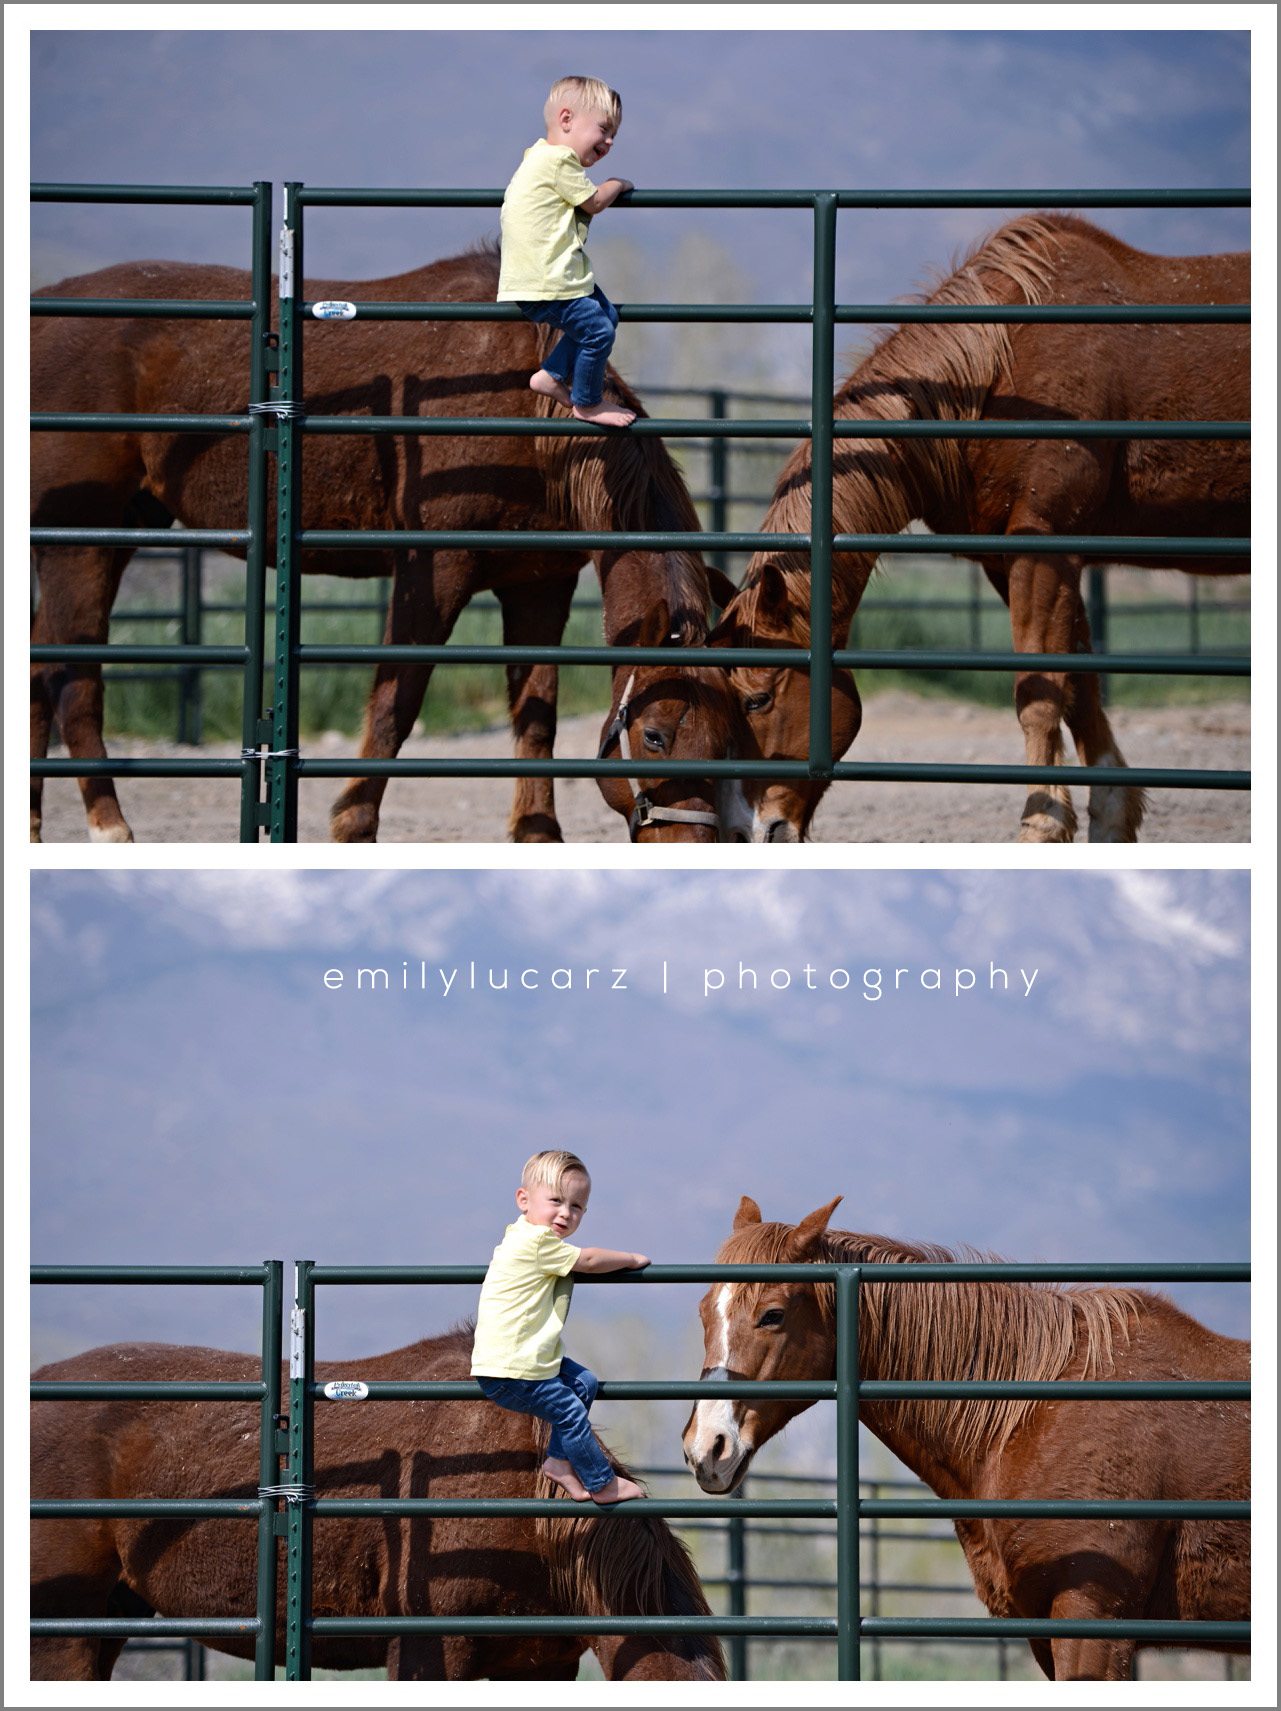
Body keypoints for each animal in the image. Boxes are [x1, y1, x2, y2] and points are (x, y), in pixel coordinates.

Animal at [29, 244, 725, 845]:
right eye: (655, 736)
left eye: (730, 734)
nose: (694, 841)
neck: (529, 416)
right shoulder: (433, 570)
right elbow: (398, 699)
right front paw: (353, 823)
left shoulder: (539, 583)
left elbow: (536, 715)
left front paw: (536, 833)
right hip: (80, 543)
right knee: (75, 683)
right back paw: (110, 827)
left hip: (112, 533)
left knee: (42, 671)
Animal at [708, 217, 1238, 845]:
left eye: (758, 700)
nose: (756, 830)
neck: (997, 370)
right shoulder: (1021, 560)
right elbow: (1079, 689)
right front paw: (1108, 818)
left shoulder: (1046, 547)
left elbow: (1040, 695)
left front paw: (1041, 824)